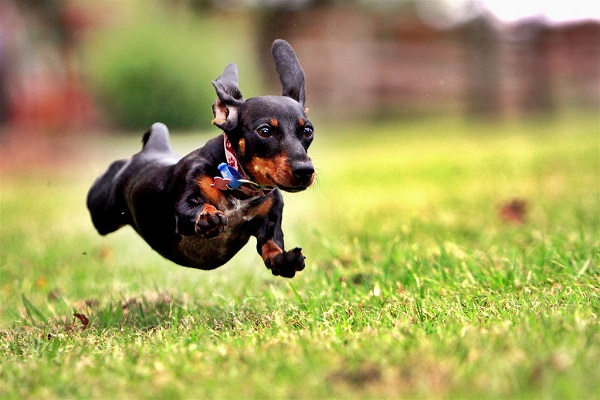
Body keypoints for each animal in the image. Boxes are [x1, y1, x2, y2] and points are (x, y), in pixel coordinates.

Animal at [88, 39, 316, 278]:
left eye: (308, 130)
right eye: (264, 131)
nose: (305, 171)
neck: (237, 185)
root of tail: (153, 148)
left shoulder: (269, 219)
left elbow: (271, 247)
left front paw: (286, 259)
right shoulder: (186, 199)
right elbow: (192, 209)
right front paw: (207, 216)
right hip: (101, 213)